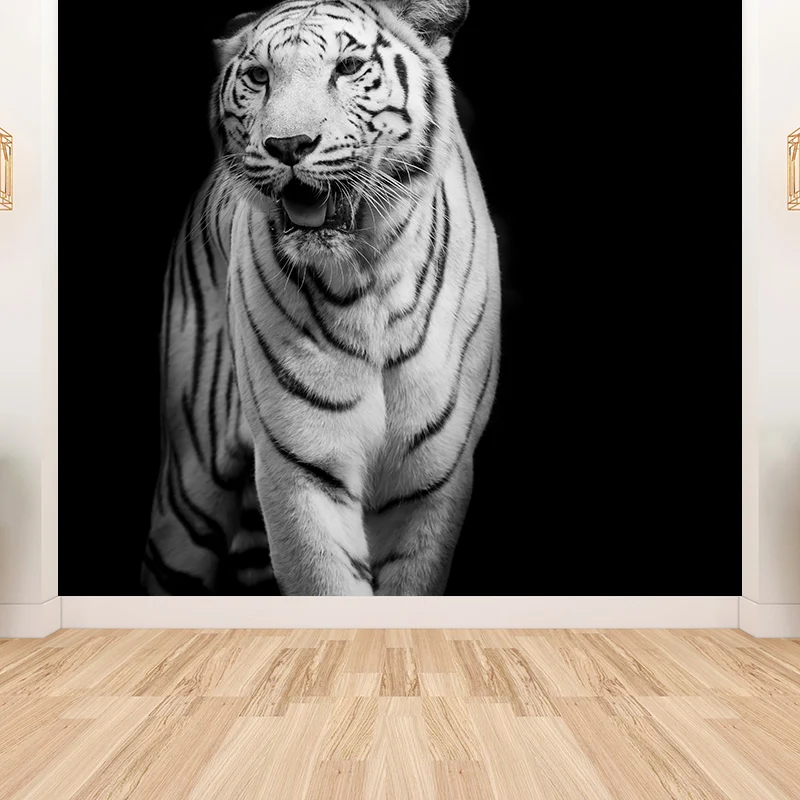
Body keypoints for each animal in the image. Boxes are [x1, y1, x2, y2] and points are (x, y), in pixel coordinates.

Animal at [141, 0, 501, 597]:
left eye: (349, 67)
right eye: (258, 76)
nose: (288, 146)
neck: (369, 276)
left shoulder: (433, 480)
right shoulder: (301, 468)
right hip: (190, 488)